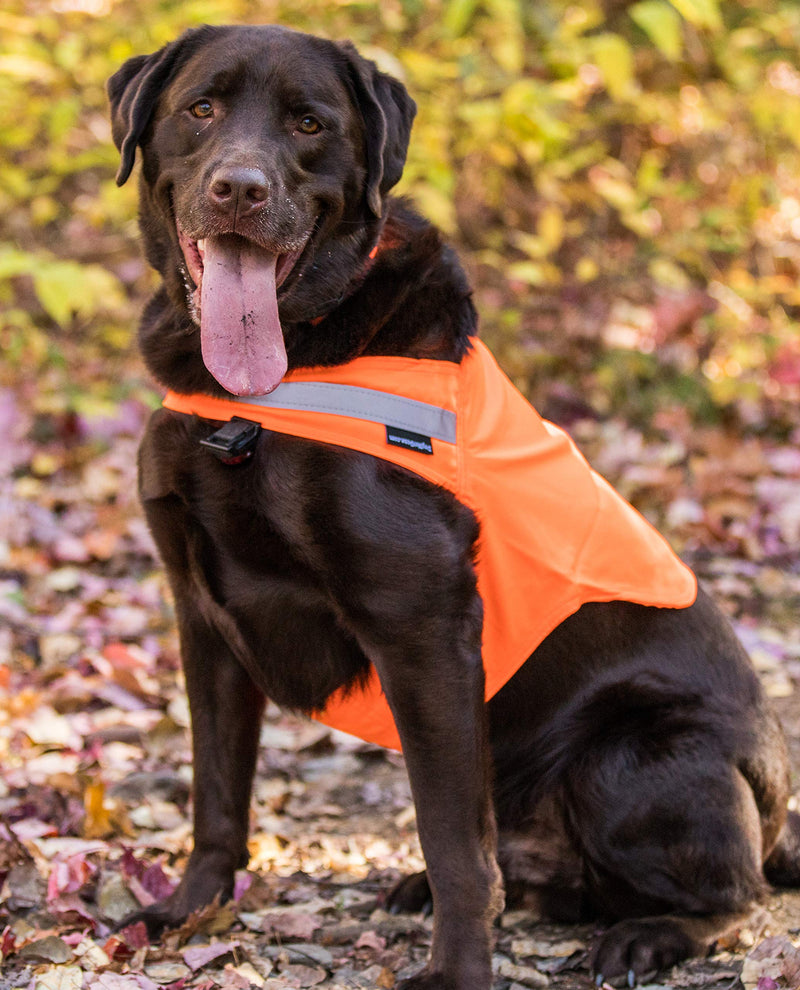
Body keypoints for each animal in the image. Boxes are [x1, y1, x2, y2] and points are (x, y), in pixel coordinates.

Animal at [109, 27, 800, 988]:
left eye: (310, 124)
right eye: (200, 109)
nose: (239, 189)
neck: (269, 385)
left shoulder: (423, 631)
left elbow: (453, 841)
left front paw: (460, 968)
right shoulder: (202, 618)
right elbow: (216, 794)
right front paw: (188, 909)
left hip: (630, 758)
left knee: (739, 896)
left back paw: (647, 936)